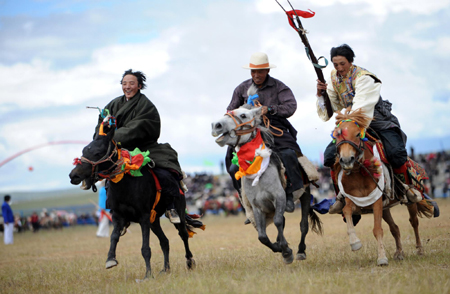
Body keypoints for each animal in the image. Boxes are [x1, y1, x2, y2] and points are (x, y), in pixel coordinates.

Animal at [68, 121, 197, 280]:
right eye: (84, 150)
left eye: (97, 153)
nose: (74, 175)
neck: (125, 184)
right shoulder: (119, 216)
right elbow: (114, 237)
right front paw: (110, 259)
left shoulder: (143, 217)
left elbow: (145, 248)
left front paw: (147, 274)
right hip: (154, 221)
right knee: (165, 241)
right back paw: (165, 269)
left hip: (177, 213)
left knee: (183, 235)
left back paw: (189, 262)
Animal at [212, 104, 324, 264]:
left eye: (244, 115)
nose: (216, 125)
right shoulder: (257, 207)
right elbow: (262, 236)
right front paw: (279, 248)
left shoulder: (279, 198)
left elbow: (277, 221)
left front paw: (287, 252)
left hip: (306, 193)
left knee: (303, 225)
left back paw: (300, 251)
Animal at [332, 108, 434, 266]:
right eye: (336, 135)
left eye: (357, 134)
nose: (346, 160)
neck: (360, 173)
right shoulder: (354, 201)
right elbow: (346, 210)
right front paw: (355, 242)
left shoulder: (376, 202)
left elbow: (377, 229)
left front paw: (381, 258)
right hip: (386, 207)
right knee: (395, 228)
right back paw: (399, 253)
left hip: (409, 202)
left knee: (414, 222)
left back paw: (419, 250)